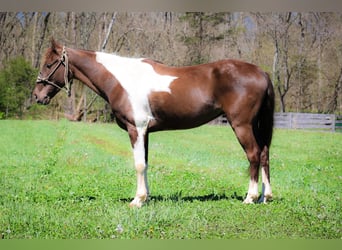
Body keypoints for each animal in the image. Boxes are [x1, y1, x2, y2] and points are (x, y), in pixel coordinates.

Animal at [32, 38, 276, 207]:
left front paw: (137, 200)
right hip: (256, 126)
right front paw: (145, 197)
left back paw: (250, 197)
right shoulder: (145, 132)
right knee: (264, 154)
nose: (37, 96)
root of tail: (261, 72)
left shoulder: (136, 129)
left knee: (254, 155)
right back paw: (266, 197)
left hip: (242, 125)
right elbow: (146, 163)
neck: (121, 79)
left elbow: (139, 164)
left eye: (50, 64)